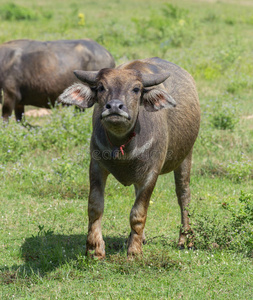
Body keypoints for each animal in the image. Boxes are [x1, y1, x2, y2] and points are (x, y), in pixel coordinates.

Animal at [59, 56, 202, 258]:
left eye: (136, 89)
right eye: (101, 87)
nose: (114, 107)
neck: (124, 146)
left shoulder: (151, 173)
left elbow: (138, 212)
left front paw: (134, 252)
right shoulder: (96, 165)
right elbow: (95, 207)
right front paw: (95, 249)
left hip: (186, 155)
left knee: (183, 195)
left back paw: (185, 239)